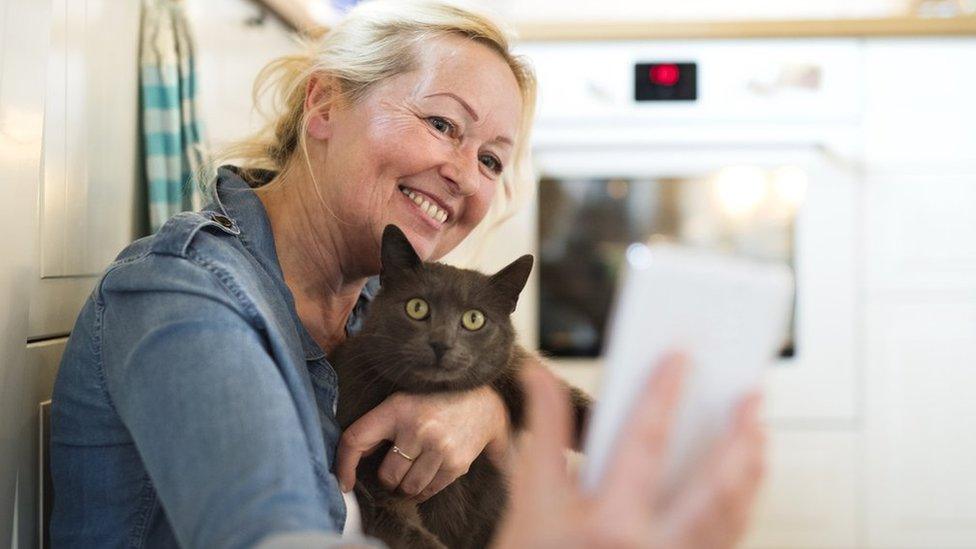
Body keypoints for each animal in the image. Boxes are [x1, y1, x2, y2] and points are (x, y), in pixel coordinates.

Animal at [332, 224, 592, 548]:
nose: (441, 343)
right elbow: (396, 520)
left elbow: (568, 400)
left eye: (474, 318)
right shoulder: (367, 472)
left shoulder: (515, 367)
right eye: (417, 307)